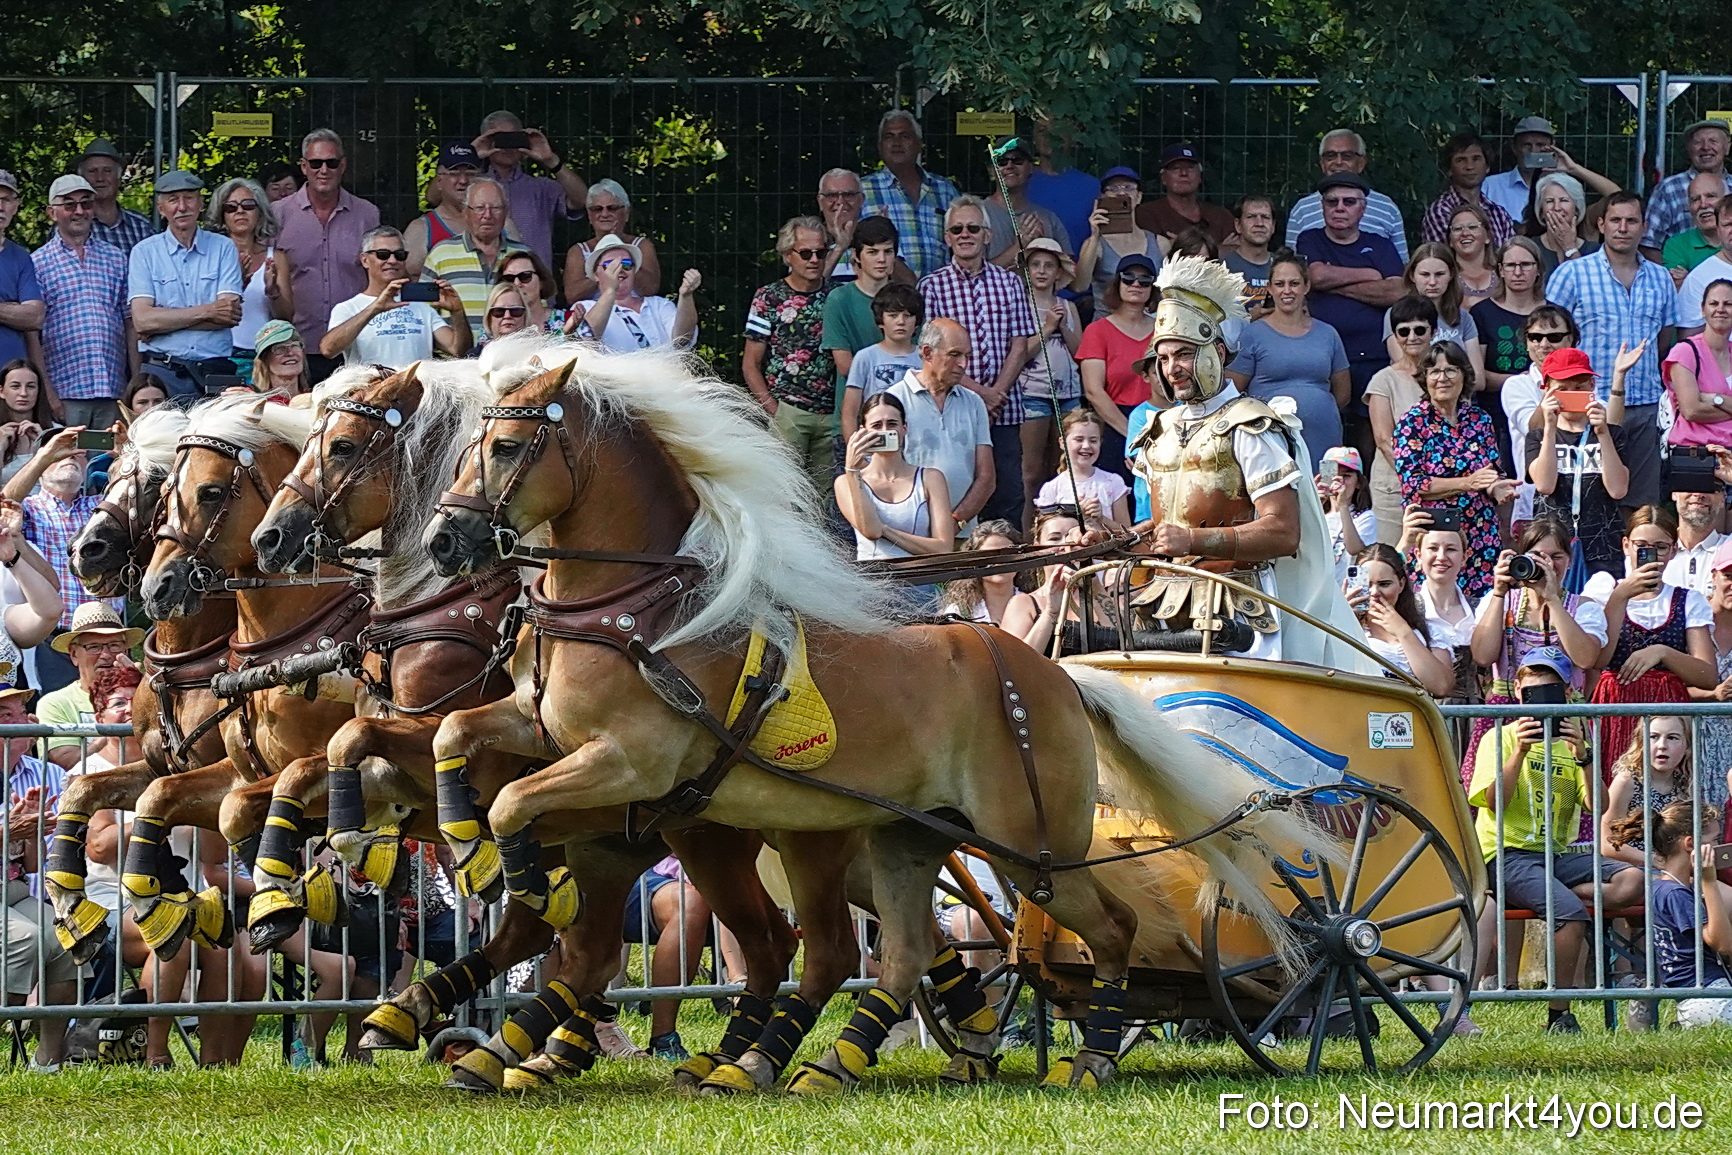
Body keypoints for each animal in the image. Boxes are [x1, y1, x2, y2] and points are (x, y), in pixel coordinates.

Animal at [419, 335, 1309, 1094]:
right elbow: (455, 736)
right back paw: (819, 1060)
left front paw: (521, 879)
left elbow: (513, 801)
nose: (442, 540)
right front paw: (473, 850)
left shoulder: (632, 760)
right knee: (898, 952)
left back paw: (1085, 1057)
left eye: (505, 446)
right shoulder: (547, 730)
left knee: (1108, 929)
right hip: (910, 835)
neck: (637, 614)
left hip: (1029, 845)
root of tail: (1055, 675)